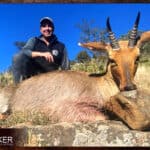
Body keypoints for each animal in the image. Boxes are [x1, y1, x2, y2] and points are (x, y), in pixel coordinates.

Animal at [4, 12, 150, 123]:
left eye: (137, 57)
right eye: (112, 59)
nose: (129, 87)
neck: (99, 83)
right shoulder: (67, 108)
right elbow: (103, 116)